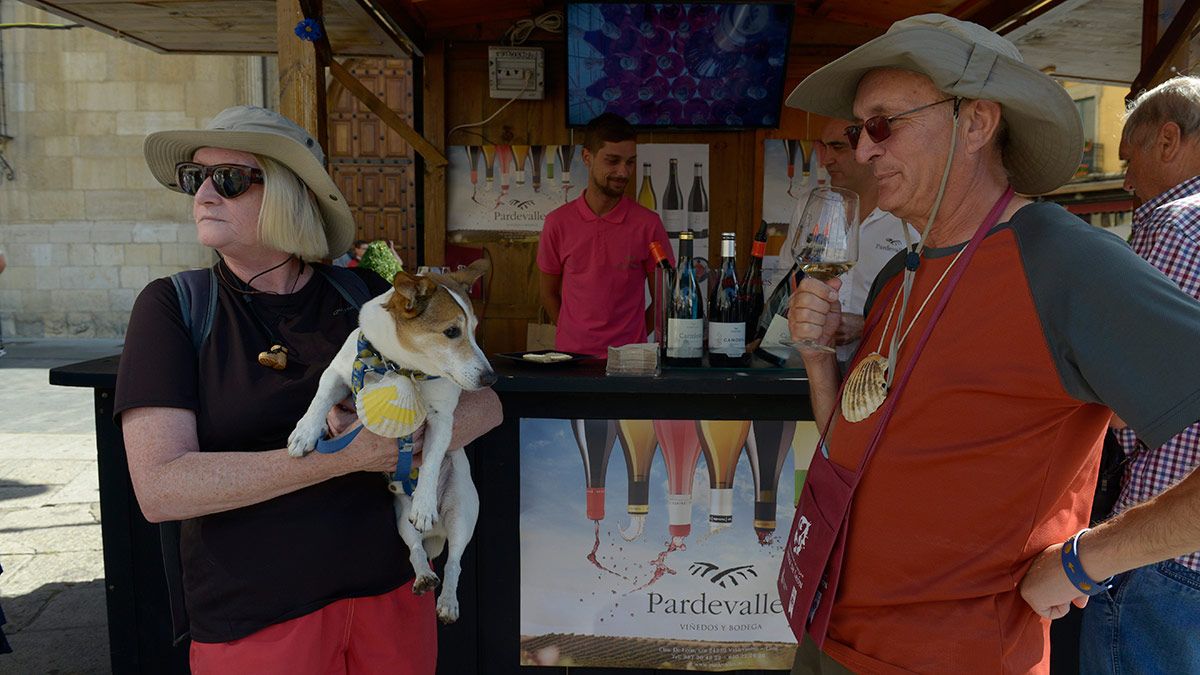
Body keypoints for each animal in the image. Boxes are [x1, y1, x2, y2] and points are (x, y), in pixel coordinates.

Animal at [288, 257, 494, 619]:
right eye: (451, 332)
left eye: (474, 329)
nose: (491, 378)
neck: (401, 366)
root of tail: (437, 532)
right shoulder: (338, 373)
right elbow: (320, 398)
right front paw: (305, 431)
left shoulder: (443, 418)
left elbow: (430, 462)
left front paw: (424, 502)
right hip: (400, 518)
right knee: (415, 549)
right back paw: (424, 576)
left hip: (462, 511)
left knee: (454, 562)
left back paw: (447, 600)